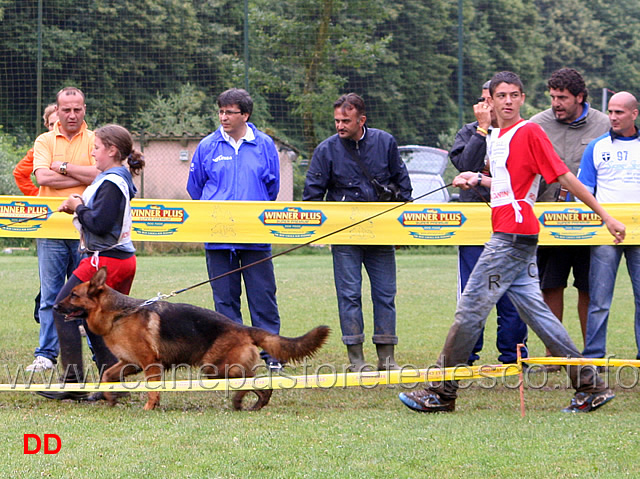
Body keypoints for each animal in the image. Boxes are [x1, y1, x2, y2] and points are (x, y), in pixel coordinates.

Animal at [54, 268, 330, 410]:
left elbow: (152, 391)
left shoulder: (150, 364)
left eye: (74, 295)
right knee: (260, 383)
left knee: (251, 379)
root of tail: (242, 327)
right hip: (219, 369)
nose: (54, 306)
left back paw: (241, 401)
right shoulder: (128, 363)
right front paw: (111, 398)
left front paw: (149, 408)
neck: (119, 314)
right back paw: (255, 404)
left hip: (216, 367)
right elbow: (106, 376)